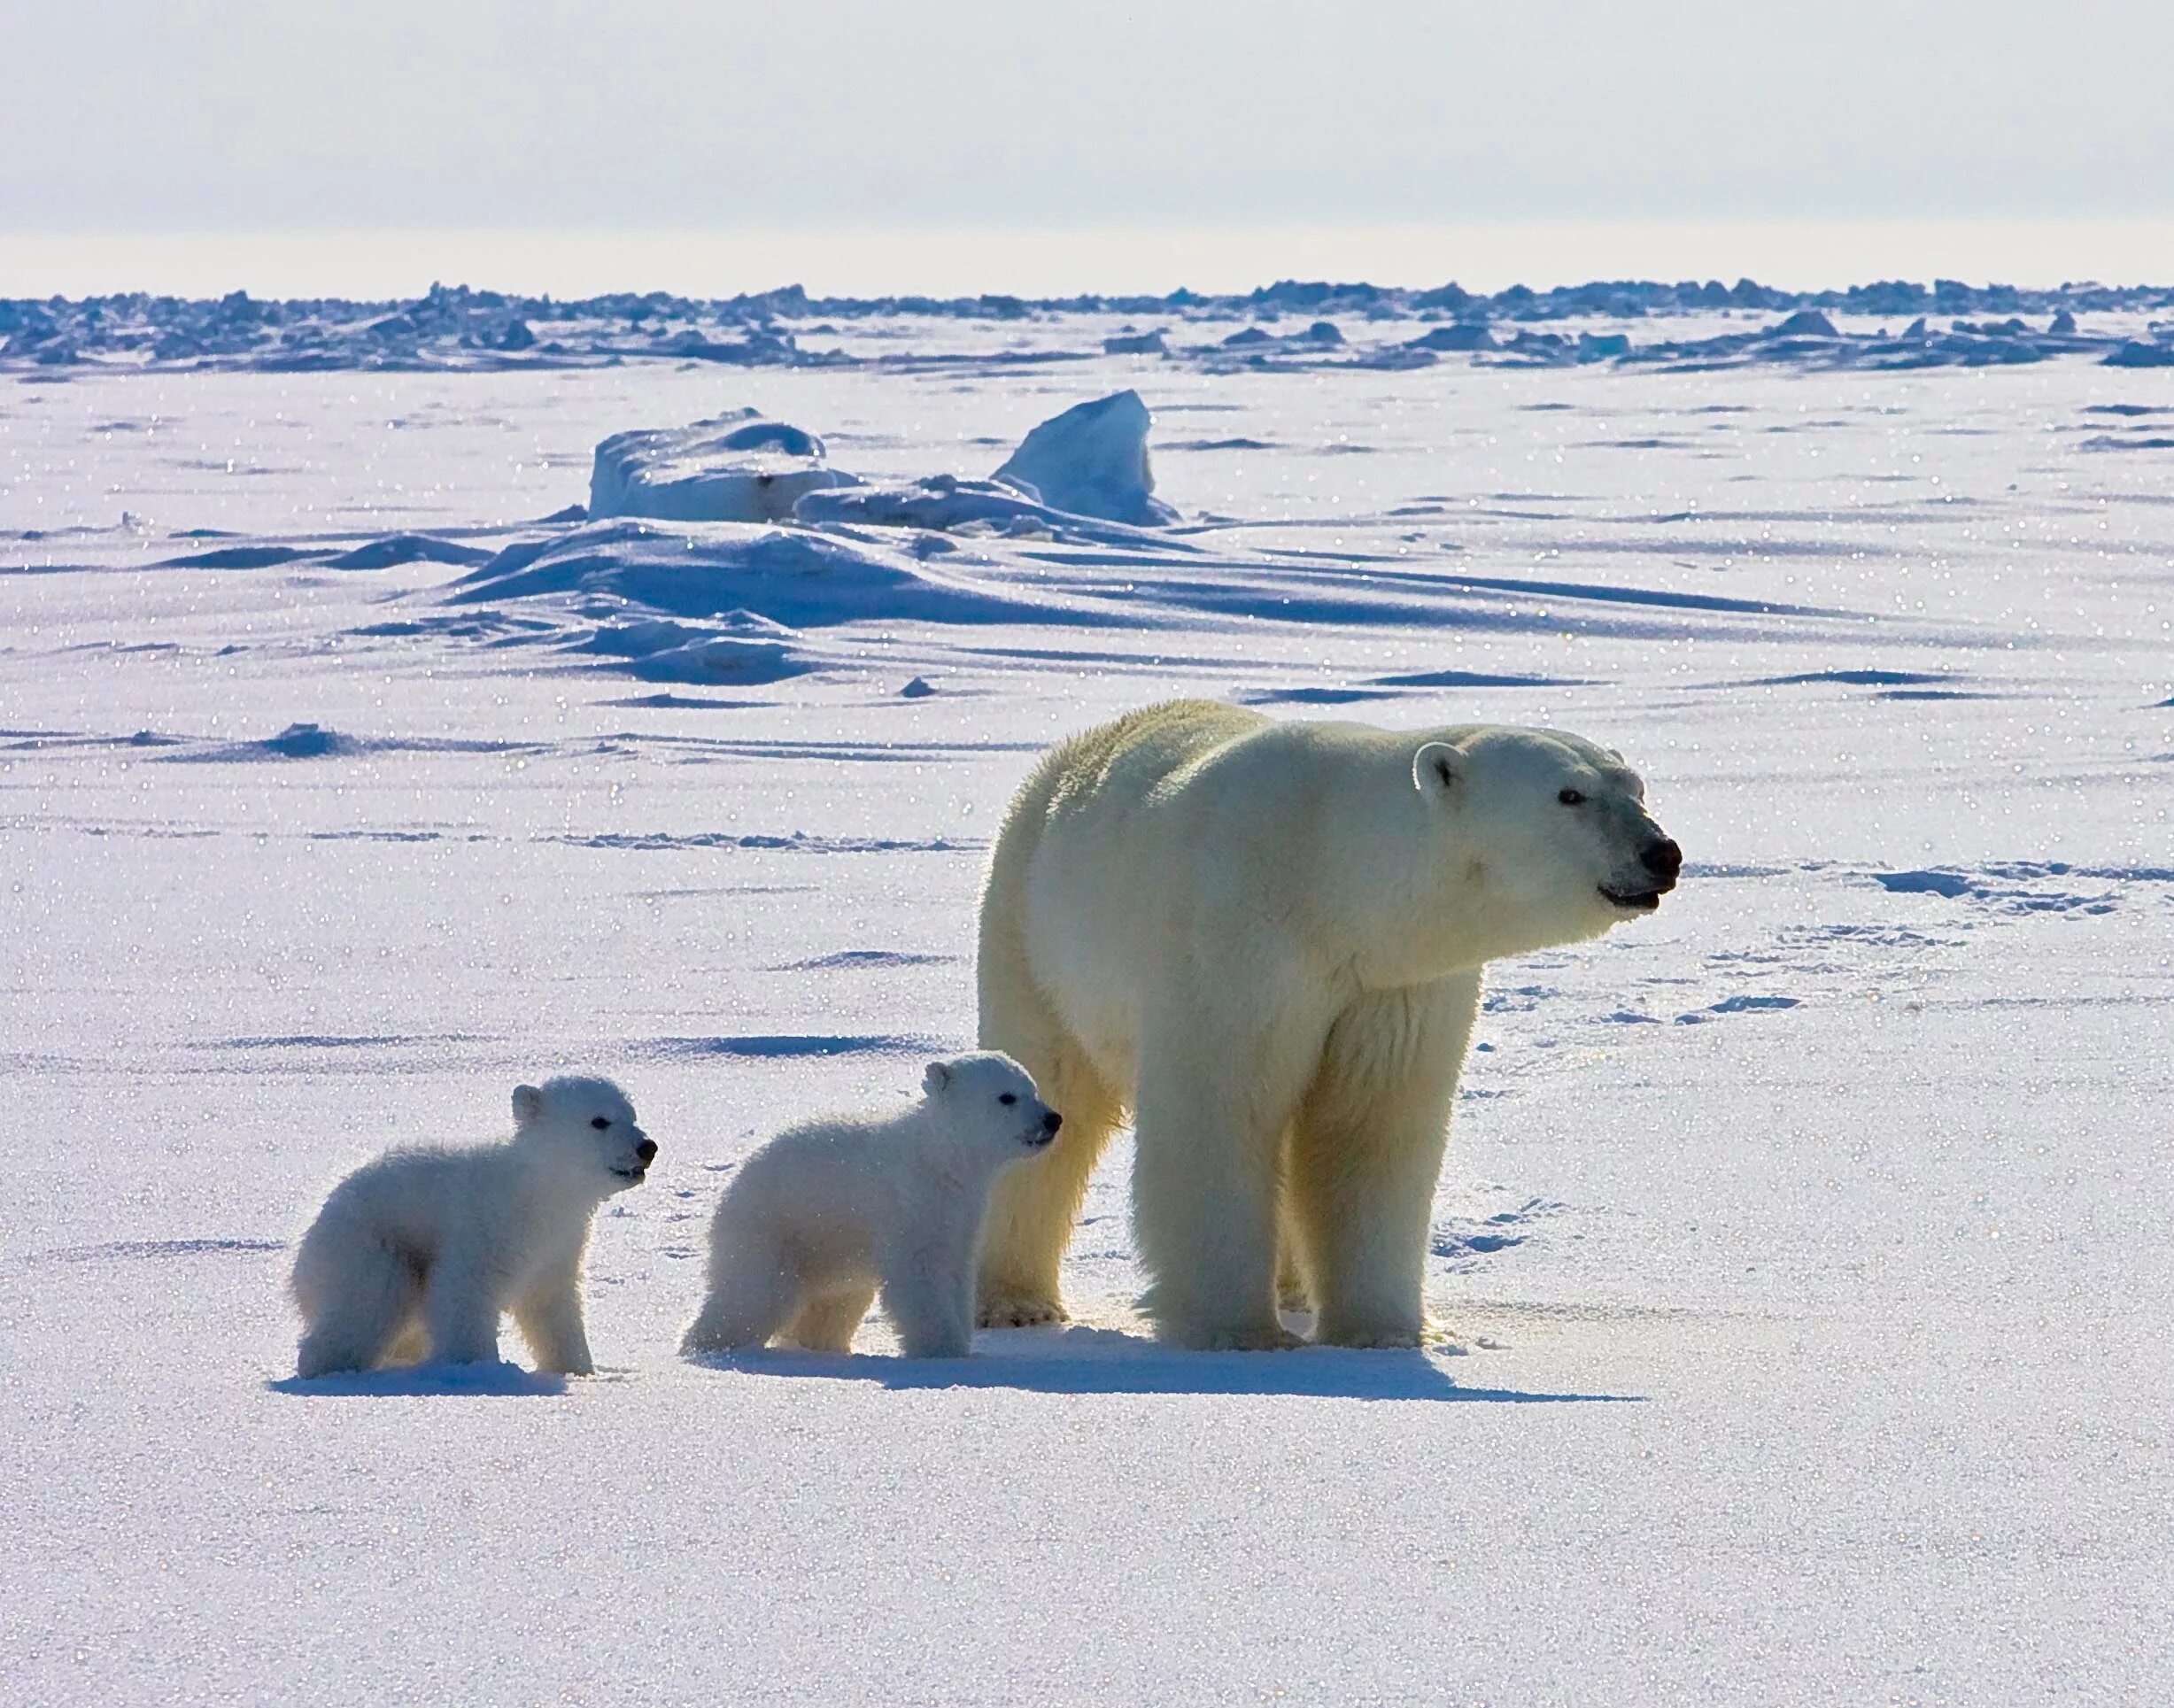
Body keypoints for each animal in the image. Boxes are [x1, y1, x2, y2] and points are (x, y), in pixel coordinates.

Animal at [982, 699, 1678, 1347]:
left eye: (1636, 787)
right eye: (1569, 793)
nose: (1661, 853)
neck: (1328, 879)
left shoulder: (1392, 985)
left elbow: (1368, 1126)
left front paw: (1383, 1333)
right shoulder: (1237, 948)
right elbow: (1223, 1114)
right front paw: (1237, 1332)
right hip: (1032, 933)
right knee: (1051, 1092)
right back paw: (1015, 1302)